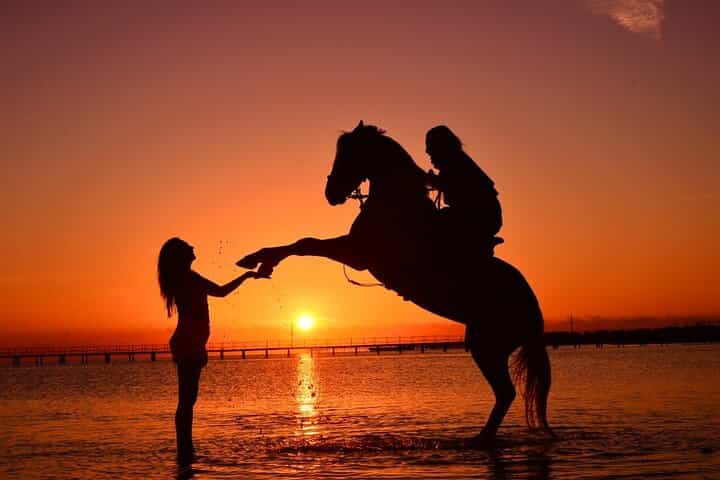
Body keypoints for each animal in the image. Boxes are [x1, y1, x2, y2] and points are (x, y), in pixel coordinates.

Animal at [237, 122, 552, 444]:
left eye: (347, 154)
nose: (330, 192)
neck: (395, 204)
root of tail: (533, 311)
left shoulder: (356, 253)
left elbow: (305, 243)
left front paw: (258, 260)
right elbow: (304, 243)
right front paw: (258, 261)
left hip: (486, 346)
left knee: (505, 393)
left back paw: (480, 439)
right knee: (505, 393)